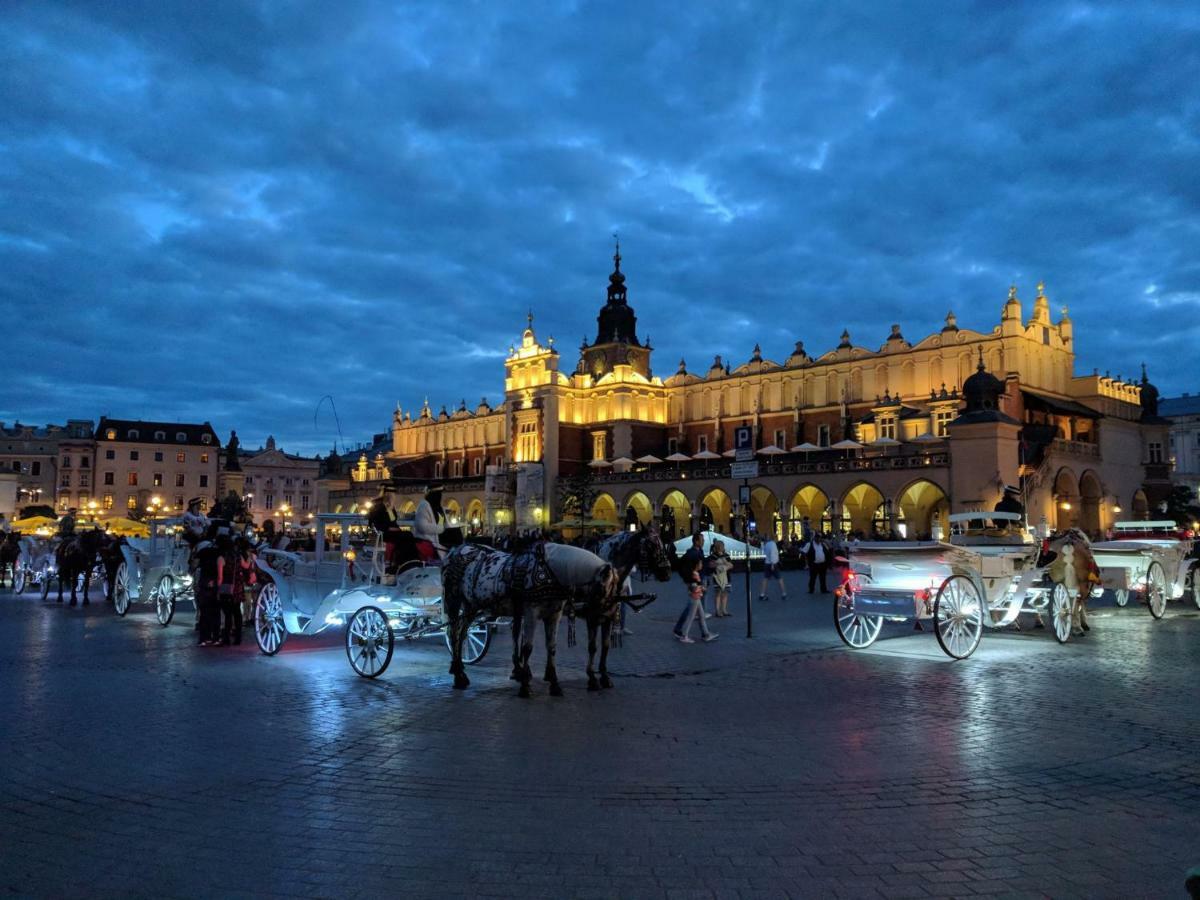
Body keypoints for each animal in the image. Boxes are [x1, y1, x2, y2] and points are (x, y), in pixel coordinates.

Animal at [446, 542, 624, 696]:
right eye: (603, 589)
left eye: (618, 587)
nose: (612, 613)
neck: (552, 573)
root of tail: (457, 548)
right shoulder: (532, 614)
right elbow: (527, 648)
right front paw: (525, 686)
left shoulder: (554, 615)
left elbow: (552, 647)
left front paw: (554, 683)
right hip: (453, 600)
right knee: (453, 632)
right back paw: (458, 676)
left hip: (471, 605)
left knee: (463, 633)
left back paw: (460, 669)